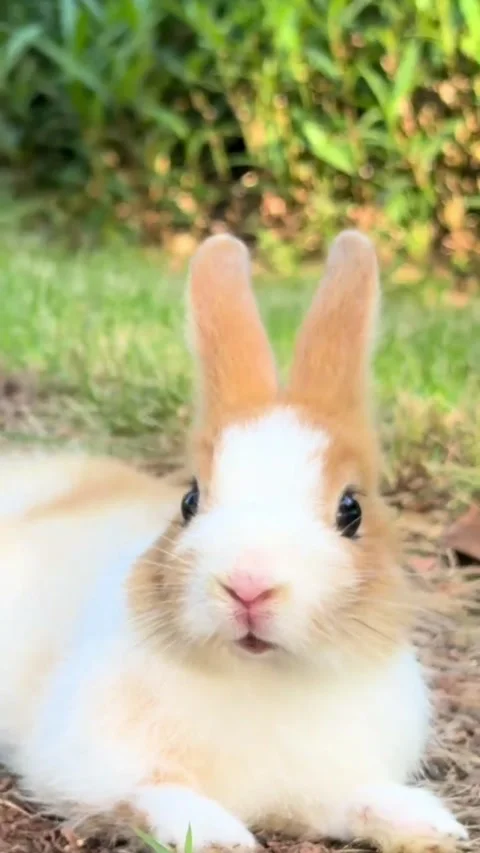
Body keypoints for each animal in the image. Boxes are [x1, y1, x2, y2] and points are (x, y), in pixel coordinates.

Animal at [0, 231, 467, 853]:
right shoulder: (88, 761)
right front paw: (219, 835)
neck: (259, 677)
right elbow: (155, 791)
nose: (248, 585)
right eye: (189, 500)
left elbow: (356, 797)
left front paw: (431, 826)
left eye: (351, 510)